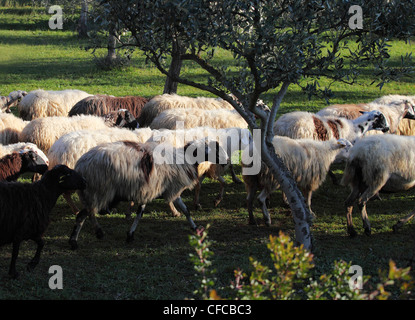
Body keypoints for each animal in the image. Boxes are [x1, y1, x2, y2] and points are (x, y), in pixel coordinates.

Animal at [69, 139, 229, 249]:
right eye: (215, 150)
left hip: (93, 193)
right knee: (85, 214)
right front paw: (195, 227)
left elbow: (141, 214)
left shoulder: (149, 190)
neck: (185, 159)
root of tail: (81, 165)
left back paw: (87, 236)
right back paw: (84, 238)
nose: (226, 162)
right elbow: (184, 210)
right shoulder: (172, 189)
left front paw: (130, 234)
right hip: (99, 190)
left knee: (86, 214)